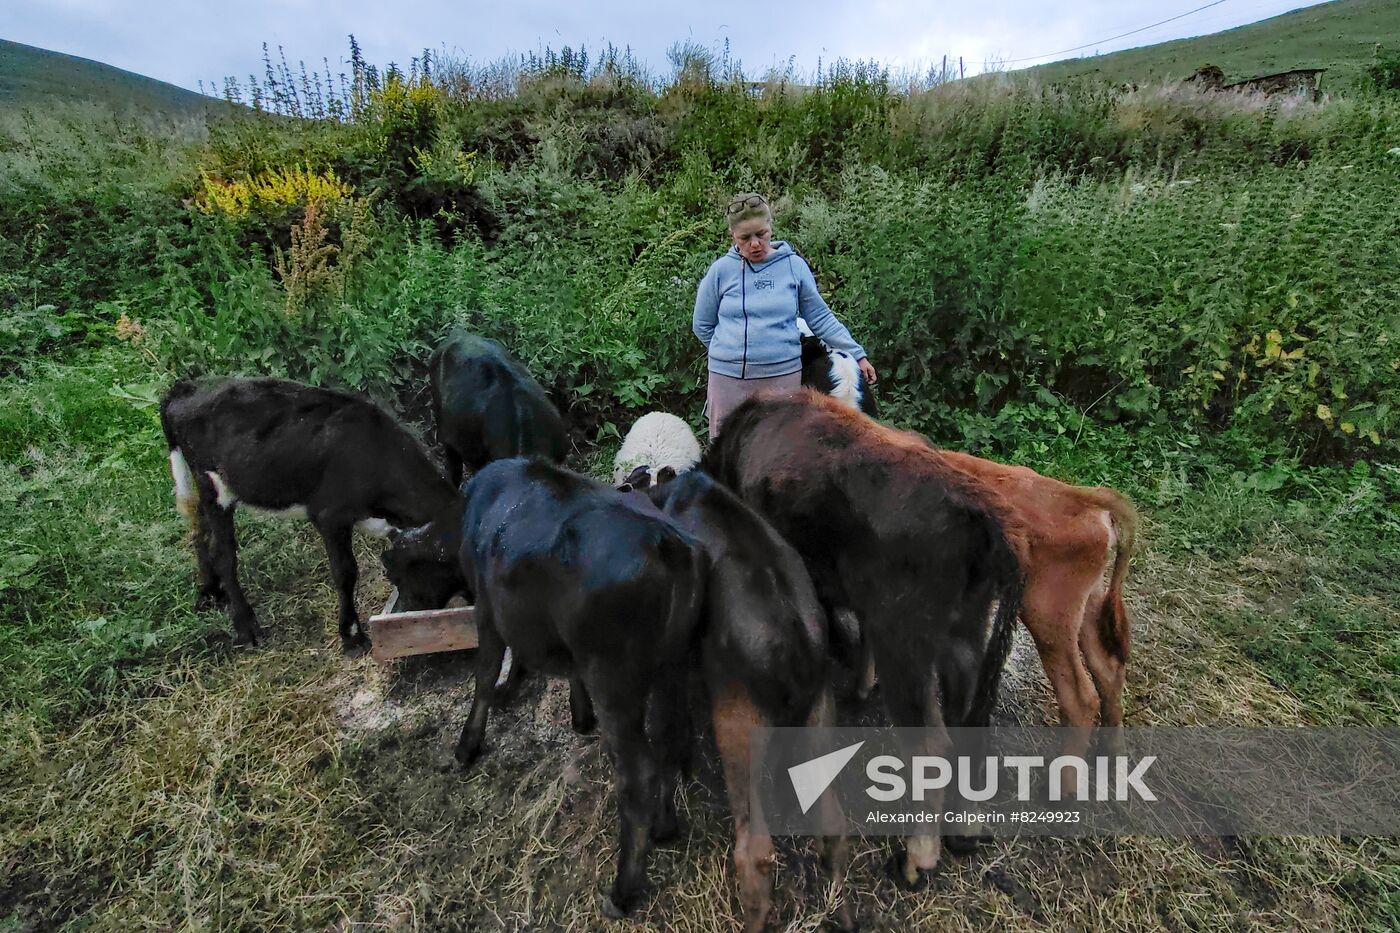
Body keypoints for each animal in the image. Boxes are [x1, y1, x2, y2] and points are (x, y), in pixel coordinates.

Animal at [161, 375, 459, 650]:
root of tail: (187, 386)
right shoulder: (329, 515)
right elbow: (345, 572)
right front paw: (352, 637)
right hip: (214, 485)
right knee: (225, 557)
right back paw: (247, 628)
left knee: (199, 530)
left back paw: (210, 593)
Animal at [380, 456, 705, 913]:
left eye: (399, 576)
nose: (406, 609)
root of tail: (665, 543)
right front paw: (579, 716)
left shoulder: (489, 610)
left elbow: (486, 675)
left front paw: (468, 744)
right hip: (672, 667)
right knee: (672, 740)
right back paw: (664, 827)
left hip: (616, 683)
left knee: (638, 775)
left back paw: (623, 892)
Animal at [646, 467, 851, 930]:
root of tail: (796, 644)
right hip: (821, 710)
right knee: (832, 824)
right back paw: (845, 915)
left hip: (739, 722)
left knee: (754, 850)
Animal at [705, 389, 1024, 885]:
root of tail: (980, 516)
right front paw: (858, 687)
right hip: (964, 639)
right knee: (967, 724)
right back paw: (964, 832)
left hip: (908, 649)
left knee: (930, 744)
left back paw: (915, 861)